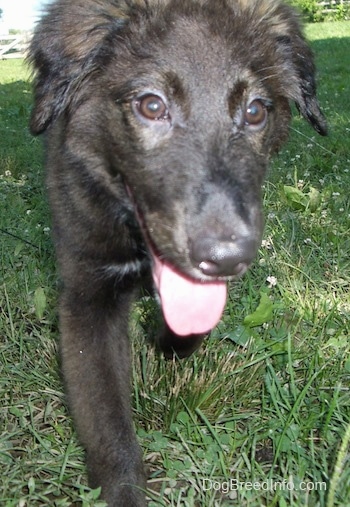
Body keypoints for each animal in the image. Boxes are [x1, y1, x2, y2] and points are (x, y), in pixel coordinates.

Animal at [28, 0, 326, 504]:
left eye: (255, 111)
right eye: (152, 106)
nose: (225, 258)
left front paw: (174, 342)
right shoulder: (87, 290)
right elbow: (106, 419)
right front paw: (124, 490)